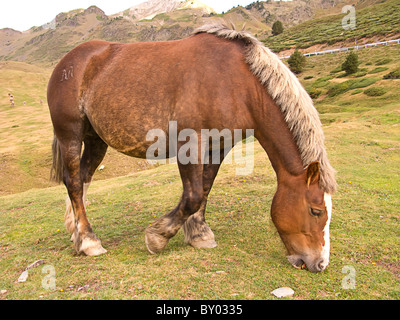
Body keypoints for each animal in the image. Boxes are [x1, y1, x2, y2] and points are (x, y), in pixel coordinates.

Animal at [47, 23, 338, 272]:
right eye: (316, 211)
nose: (320, 263)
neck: (234, 81)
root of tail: (68, 61)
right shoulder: (190, 143)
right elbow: (193, 195)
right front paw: (157, 237)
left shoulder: (219, 145)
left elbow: (205, 188)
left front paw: (199, 233)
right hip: (70, 134)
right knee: (74, 182)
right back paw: (89, 241)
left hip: (96, 140)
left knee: (83, 178)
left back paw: (76, 231)